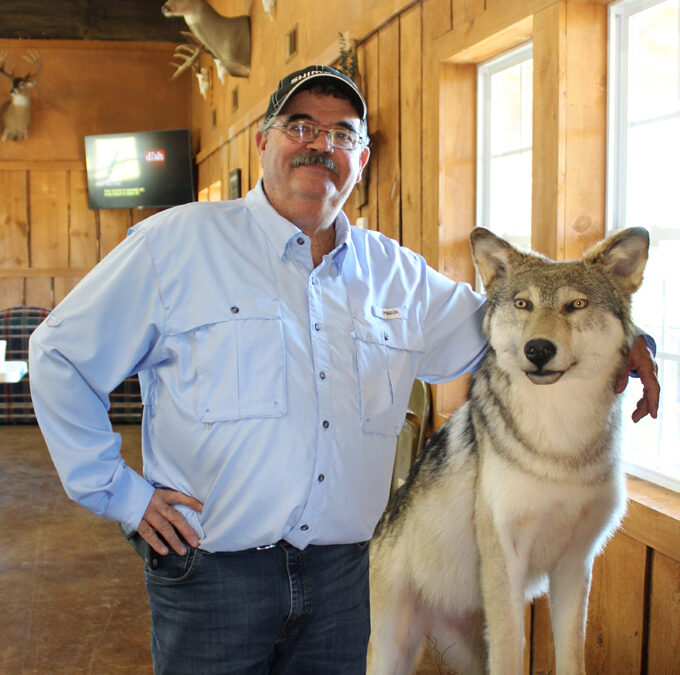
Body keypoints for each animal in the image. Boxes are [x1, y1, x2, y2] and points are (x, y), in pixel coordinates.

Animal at [368, 227, 649, 674]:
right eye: (523, 304)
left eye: (576, 305)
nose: (538, 350)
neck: (560, 442)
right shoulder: (505, 563)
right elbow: (511, 653)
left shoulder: (575, 565)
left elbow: (572, 656)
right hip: (390, 651)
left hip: (466, 653)